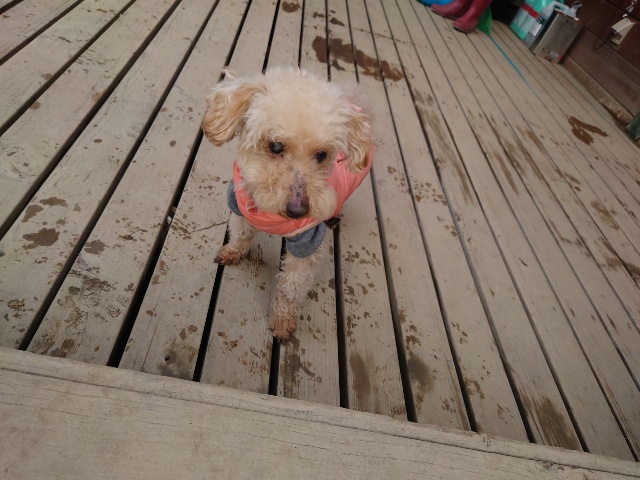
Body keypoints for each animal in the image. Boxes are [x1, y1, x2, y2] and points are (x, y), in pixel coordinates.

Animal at [202, 67, 374, 340]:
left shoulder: (307, 241)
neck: (269, 213)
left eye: (322, 155)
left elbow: (291, 286)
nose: (298, 211)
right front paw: (233, 251)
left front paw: (282, 320)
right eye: (275, 145)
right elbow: (241, 233)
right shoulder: (238, 205)